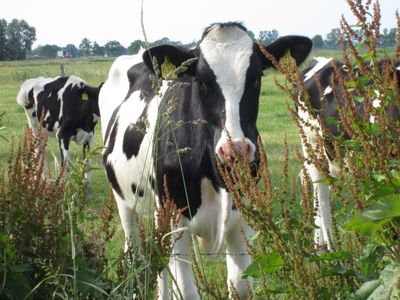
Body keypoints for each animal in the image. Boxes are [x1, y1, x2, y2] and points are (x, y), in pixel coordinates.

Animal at [99, 22, 312, 298]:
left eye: (256, 78)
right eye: (201, 81)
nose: (235, 151)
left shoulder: (243, 217)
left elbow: (241, 286)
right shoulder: (175, 219)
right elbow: (186, 290)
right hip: (125, 200)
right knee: (135, 254)